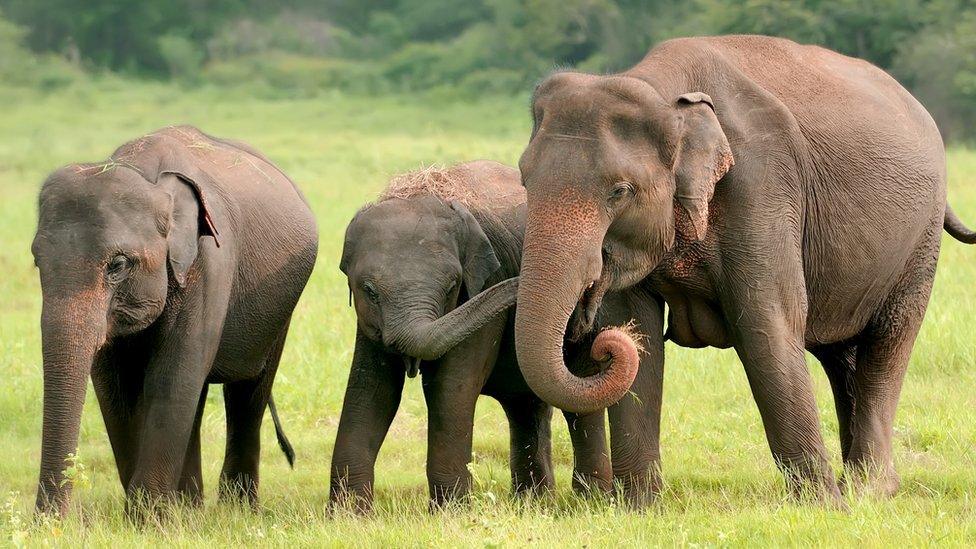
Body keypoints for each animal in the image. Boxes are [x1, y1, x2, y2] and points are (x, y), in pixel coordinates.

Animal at [31, 126, 316, 516]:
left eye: (118, 265)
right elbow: (115, 389)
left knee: (248, 390)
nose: (48, 522)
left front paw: (148, 518)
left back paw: (235, 510)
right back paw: (190, 507)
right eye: (36, 261)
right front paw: (154, 514)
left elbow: (173, 377)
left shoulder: (209, 264)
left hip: (278, 310)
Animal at [328, 161, 664, 512]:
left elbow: (451, 386)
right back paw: (533, 504)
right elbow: (373, 389)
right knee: (526, 404)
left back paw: (589, 501)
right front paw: (348, 516)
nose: (589, 282)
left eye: (452, 286)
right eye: (369, 290)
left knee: (578, 399)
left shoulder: (483, 289)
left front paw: (451, 513)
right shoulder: (367, 322)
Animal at [510, 34, 976, 506]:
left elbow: (765, 324)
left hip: (920, 245)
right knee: (840, 354)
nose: (592, 341)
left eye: (620, 192)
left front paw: (823, 507)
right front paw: (638, 508)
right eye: (524, 180)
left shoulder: (762, 185)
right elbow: (636, 327)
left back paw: (867, 490)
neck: (661, 87)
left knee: (887, 345)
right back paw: (856, 483)